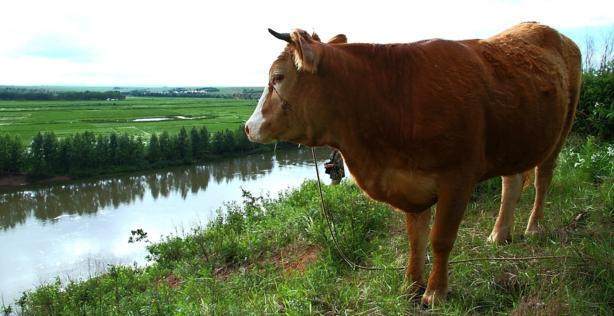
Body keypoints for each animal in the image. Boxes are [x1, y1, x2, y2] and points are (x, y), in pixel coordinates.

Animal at [244, 21, 584, 304]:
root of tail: (551, 31)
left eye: (278, 77)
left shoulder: (457, 179)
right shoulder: (409, 181)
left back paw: (534, 227)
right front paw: (410, 286)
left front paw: (435, 293)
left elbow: (440, 239)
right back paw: (499, 235)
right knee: (511, 182)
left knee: (543, 179)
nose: (248, 127)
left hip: (562, 129)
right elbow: (415, 239)